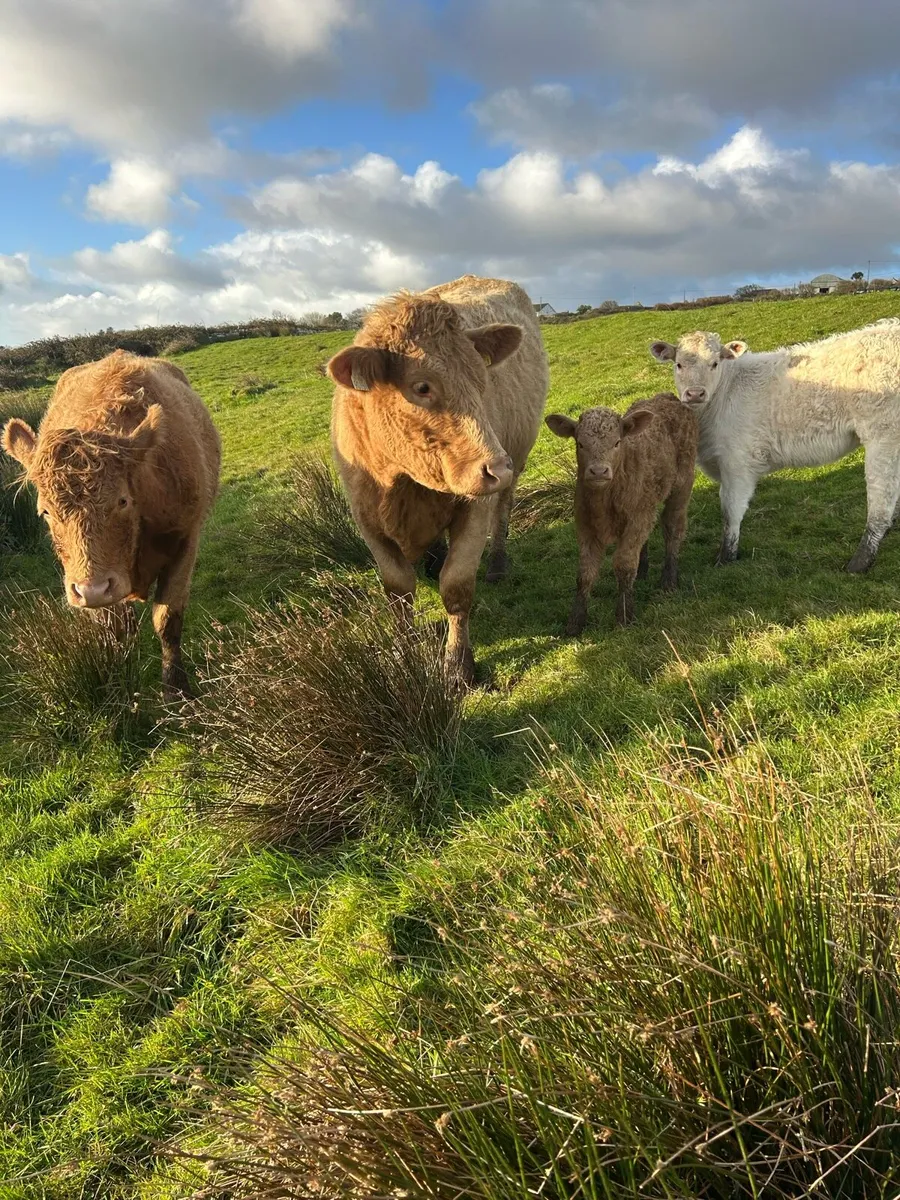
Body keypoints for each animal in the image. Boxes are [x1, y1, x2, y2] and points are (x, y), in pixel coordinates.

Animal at [1, 350, 220, 698]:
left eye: (122, 501)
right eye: (45, 512)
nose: (91, 590)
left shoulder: (187, 540)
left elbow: (167, 618)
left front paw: (176, 690)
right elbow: (113, 627)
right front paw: (117, 676)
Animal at [328, 275, 549, 685]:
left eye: (482, 379)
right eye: (422, 387)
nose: (498, 467)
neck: (404, 484)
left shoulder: (475, 509)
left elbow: (456, 586)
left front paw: (458, 665)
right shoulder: (367, 519)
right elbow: (398, 590)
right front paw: (403, 654)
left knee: (504, 512)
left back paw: (496, 564)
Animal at [651, 320, 900, 571]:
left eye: (714, 363)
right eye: (679, 364)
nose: (695, 393)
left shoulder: (737, 462)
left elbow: (730, 511)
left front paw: (726, 557)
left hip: (884, 435)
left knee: (881, 499)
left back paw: (859, 562)